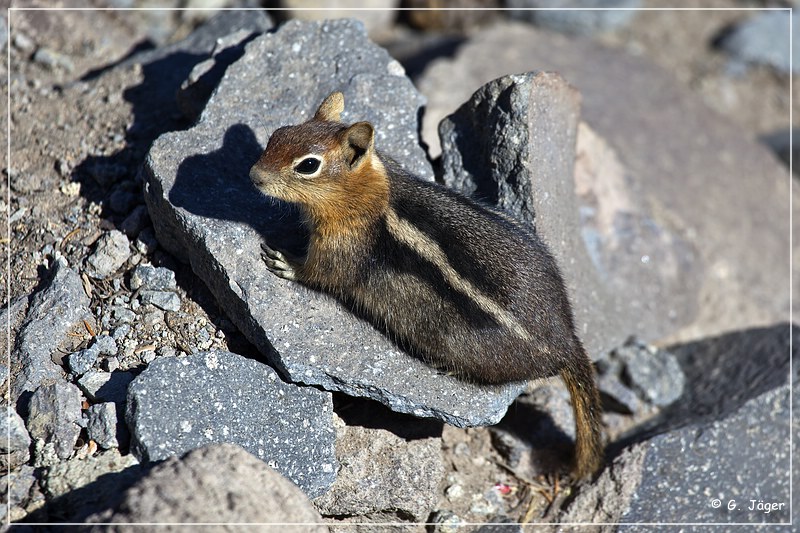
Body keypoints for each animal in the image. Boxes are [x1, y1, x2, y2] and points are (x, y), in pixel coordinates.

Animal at [248, 91, 600, 478]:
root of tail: (566, 340)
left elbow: (320, 273)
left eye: (308, 165)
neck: (366, 191)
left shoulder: (341, 247)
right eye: (279, 133)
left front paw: (284, 261)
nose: (253, 176)